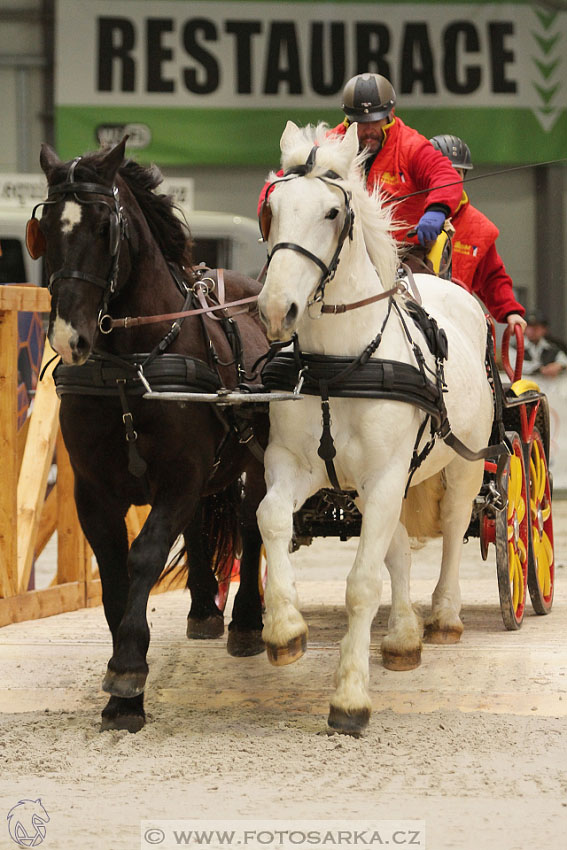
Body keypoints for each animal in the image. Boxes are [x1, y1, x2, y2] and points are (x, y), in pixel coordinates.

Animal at [28, 137, 270, 728]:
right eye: (46, 227)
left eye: (103, 226)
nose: (70, 337)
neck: (128, 366)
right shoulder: (94, 491)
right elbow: (116, 569)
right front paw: (122, 690)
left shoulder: (179, 478)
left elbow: (144, 555)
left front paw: (128, 673)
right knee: (203, 525)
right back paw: (205, 608)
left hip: (258, 457)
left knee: (252, 523)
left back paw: (247, 622)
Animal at [258, 121, 496, 736]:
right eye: (273, 209)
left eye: (331, 213)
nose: (274, 309)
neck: (338, 364)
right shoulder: (293, 465)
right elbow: (271, 518)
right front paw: (285, 628)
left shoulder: (386, 475)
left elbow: (363, 583)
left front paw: (350, 696)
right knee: (397, 550)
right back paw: (404, 636)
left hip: (462, 464)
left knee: (454, 526)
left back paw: (443, 615)